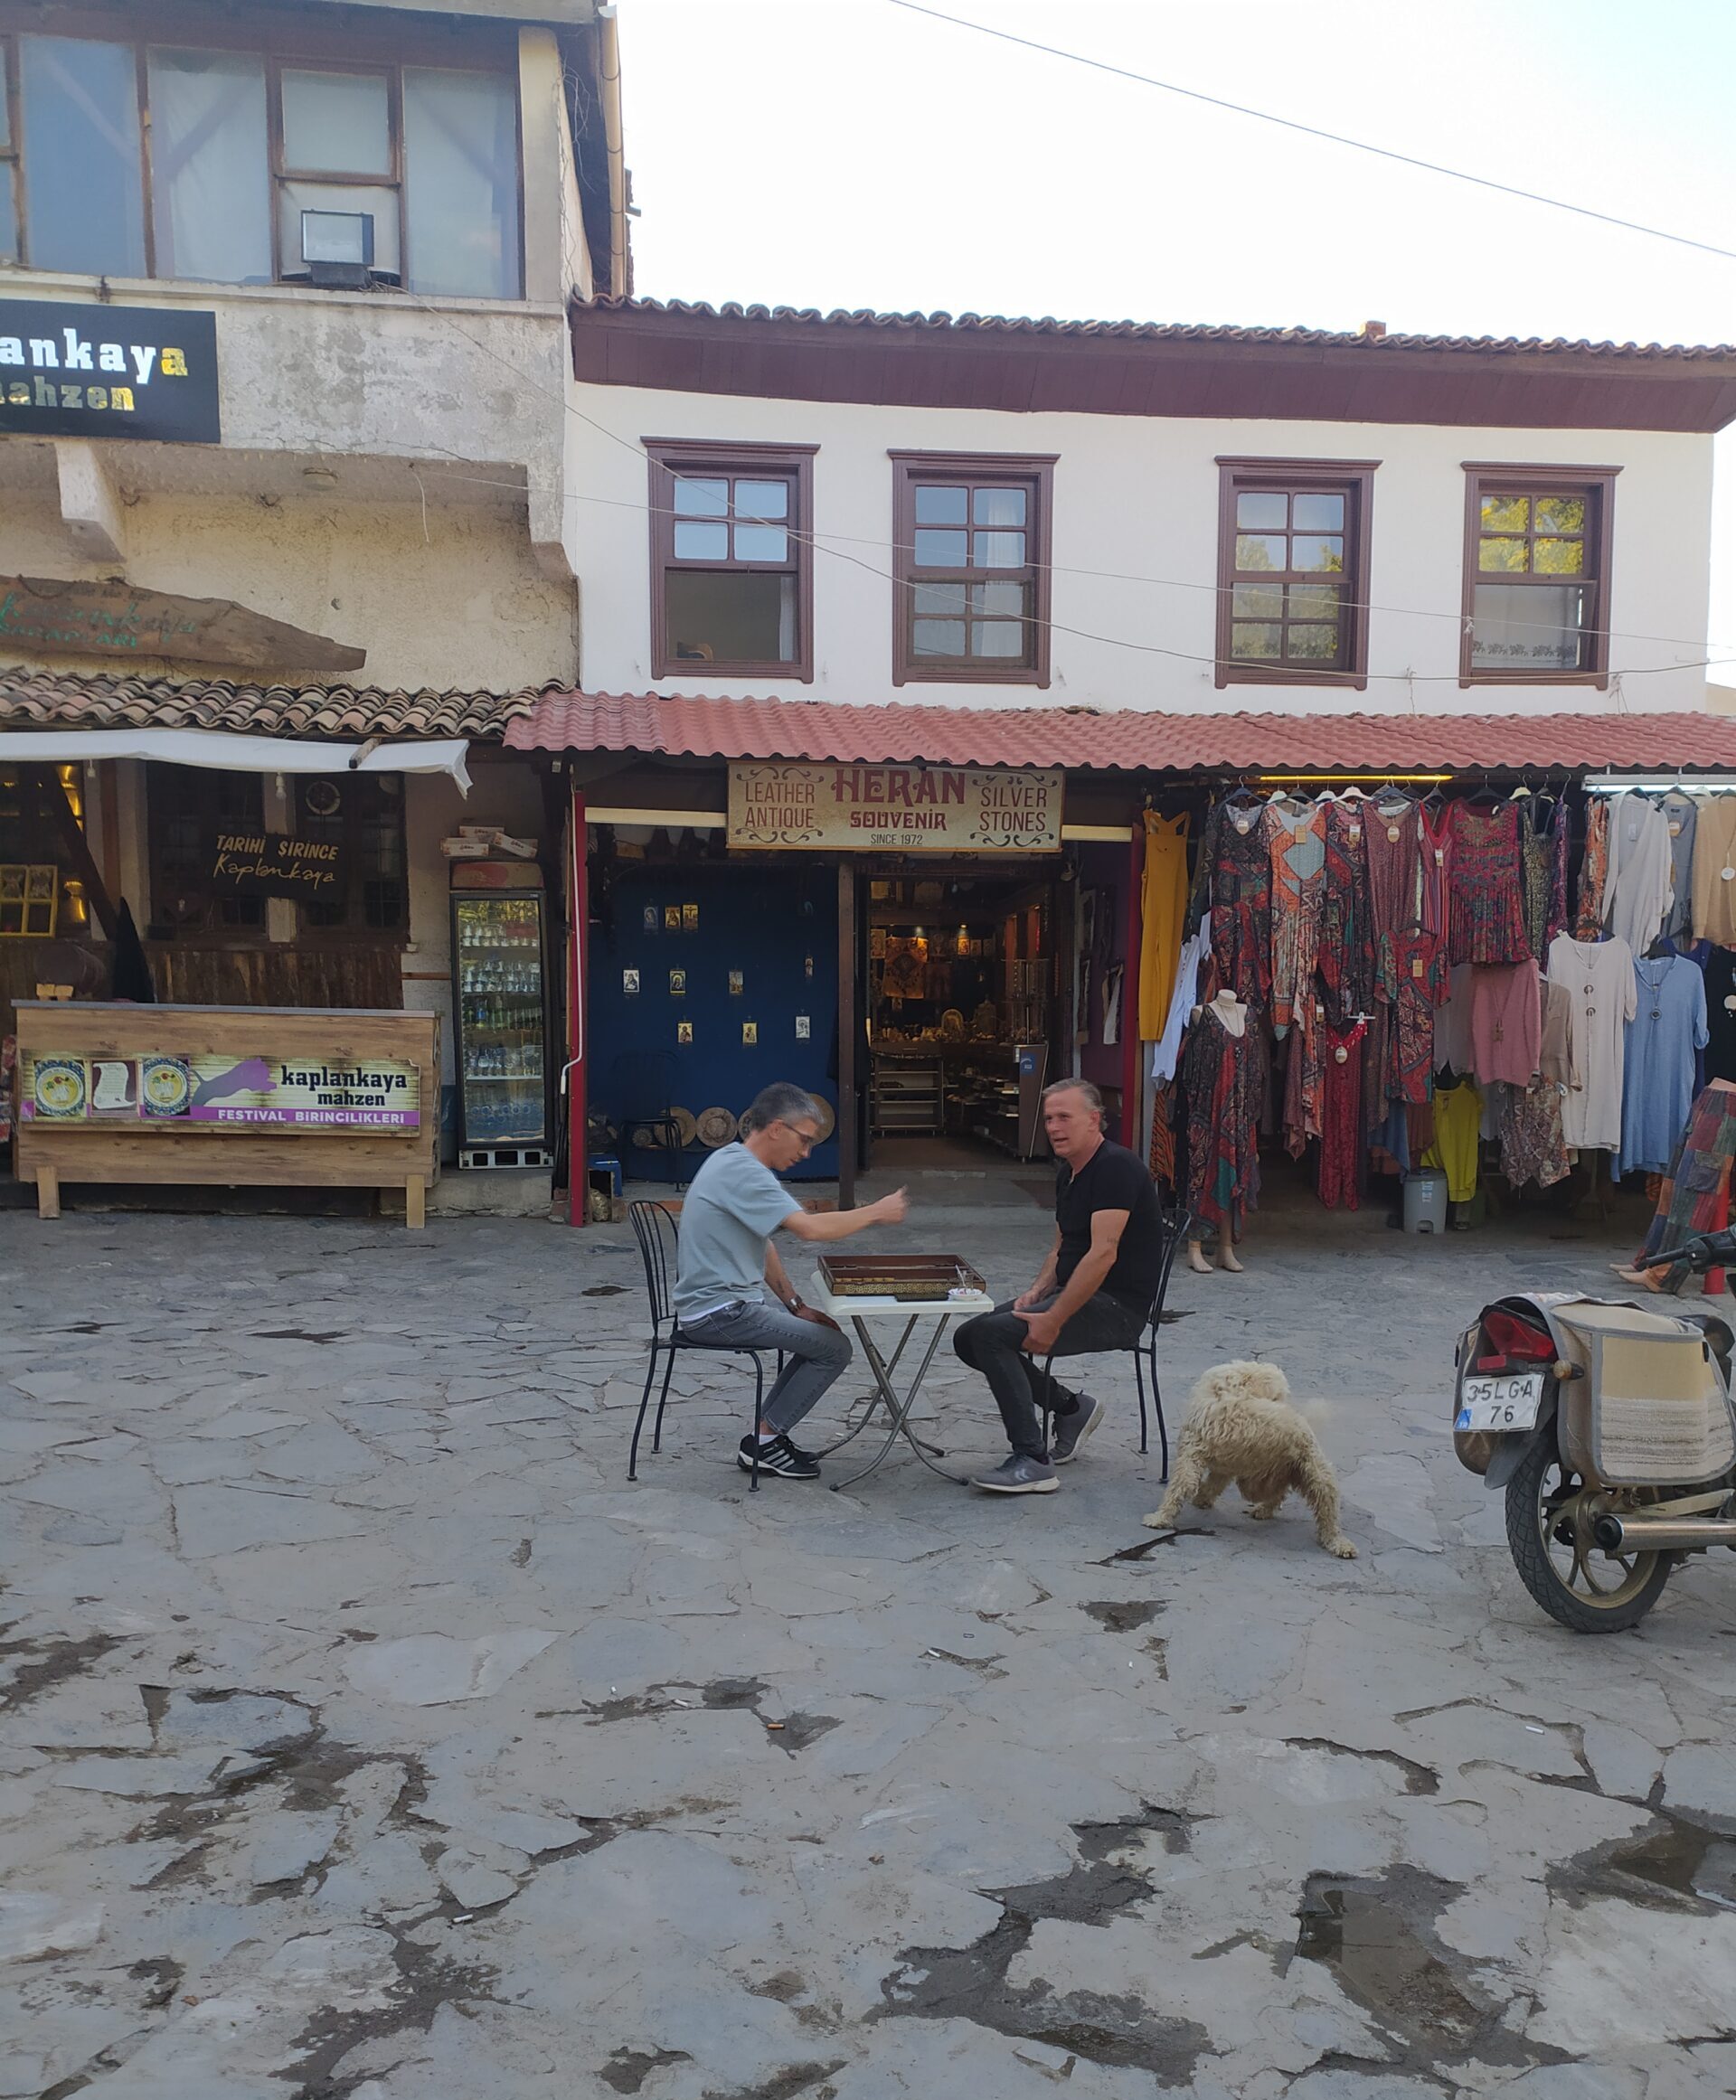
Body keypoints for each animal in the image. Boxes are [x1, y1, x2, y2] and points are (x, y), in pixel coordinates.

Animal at [1143, 1359, 1357, 1558]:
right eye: (1278, 1396)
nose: (1281, 1404)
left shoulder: (1192, 1451)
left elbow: (1180, 1486)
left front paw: (1160, 1517)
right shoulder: (1224, 1466)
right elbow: (1212, 1483)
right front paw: (1202, 1498)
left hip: (1284, 1477)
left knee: (1315, 1508)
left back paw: (1337, 1542)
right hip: (1300, 1474)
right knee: (1290, 1496)